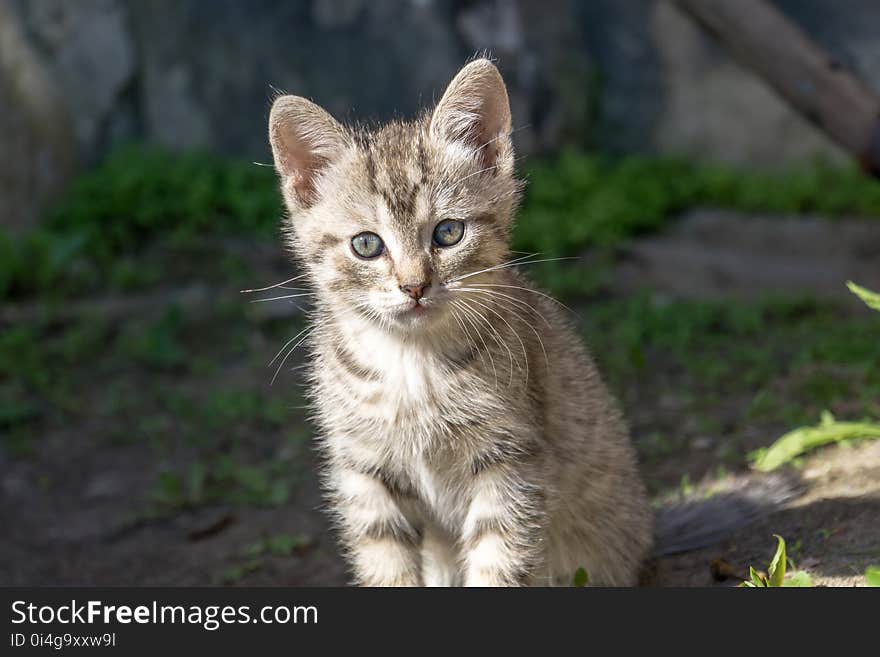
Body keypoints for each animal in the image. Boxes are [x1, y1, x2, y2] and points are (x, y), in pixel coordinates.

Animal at [268, 60, 652, 584]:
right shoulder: (366, 470)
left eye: (448, 233)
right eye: (366, 244)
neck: (411, 365)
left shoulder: (510, 463)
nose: (414, 286)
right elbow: (386, 563)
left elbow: (498, 562)